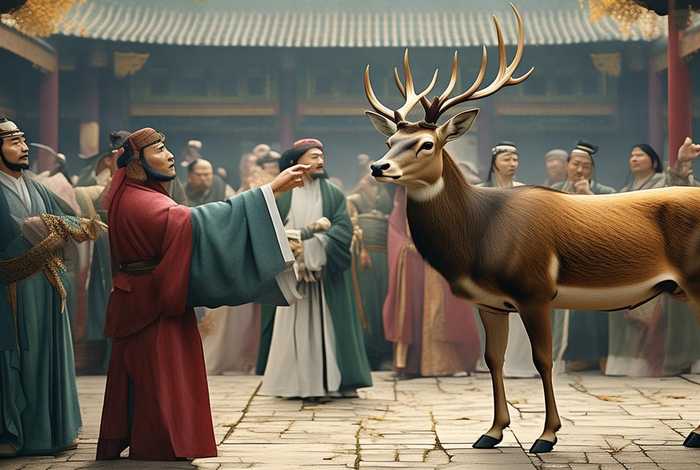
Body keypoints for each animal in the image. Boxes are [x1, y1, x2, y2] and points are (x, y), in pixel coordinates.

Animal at [362, 4, 700, 454]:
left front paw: (547, 435)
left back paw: (694, 433)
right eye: (390, 142)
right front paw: (491, 432)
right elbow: (494, 359)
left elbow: (543, 359)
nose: (378, 167)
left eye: (427, 144)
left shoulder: (535, 289)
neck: (480, 235)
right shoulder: (490, 302)